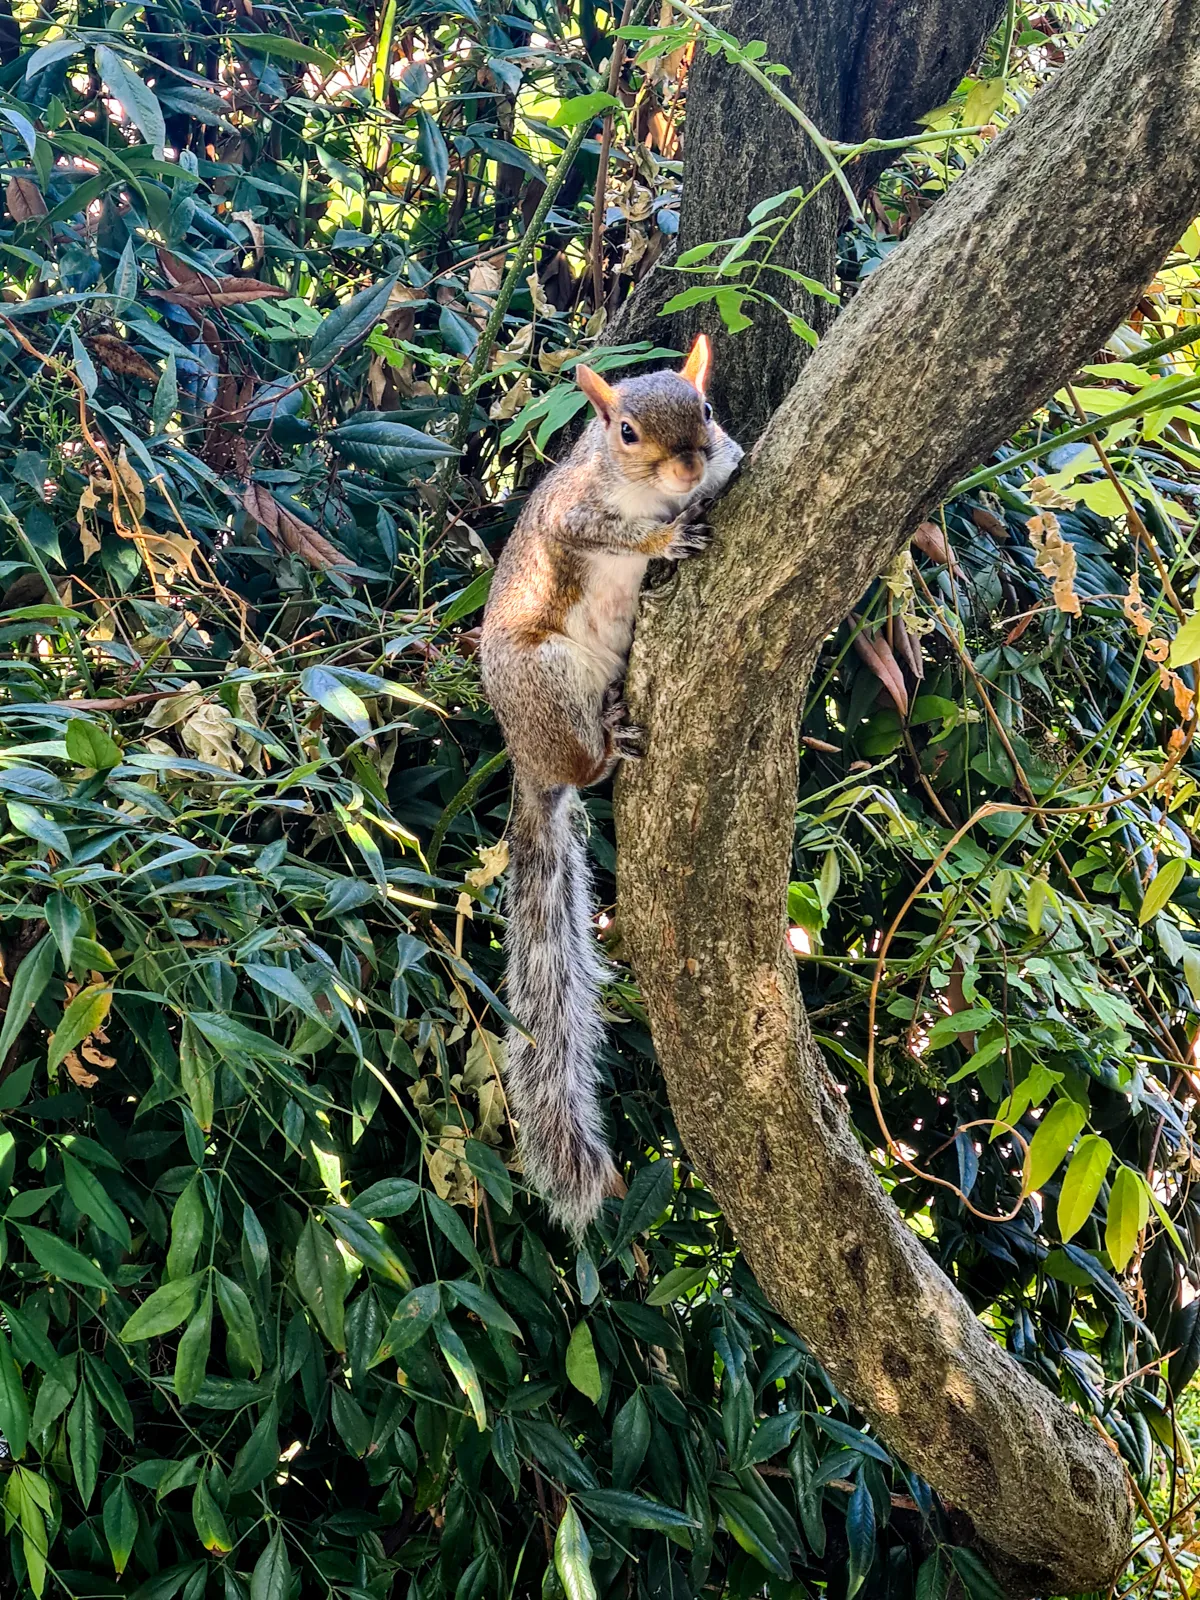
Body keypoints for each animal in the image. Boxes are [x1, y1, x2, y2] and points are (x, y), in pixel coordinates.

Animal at [479, 335, 743, 1236]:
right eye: (625, 432)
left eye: (706, 410)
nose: (689, 464)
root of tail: (529, 761)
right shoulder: (573, 512)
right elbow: (610, 533)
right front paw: (662, 539)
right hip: (549, 679)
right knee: (583, 761)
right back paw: (607, 747)